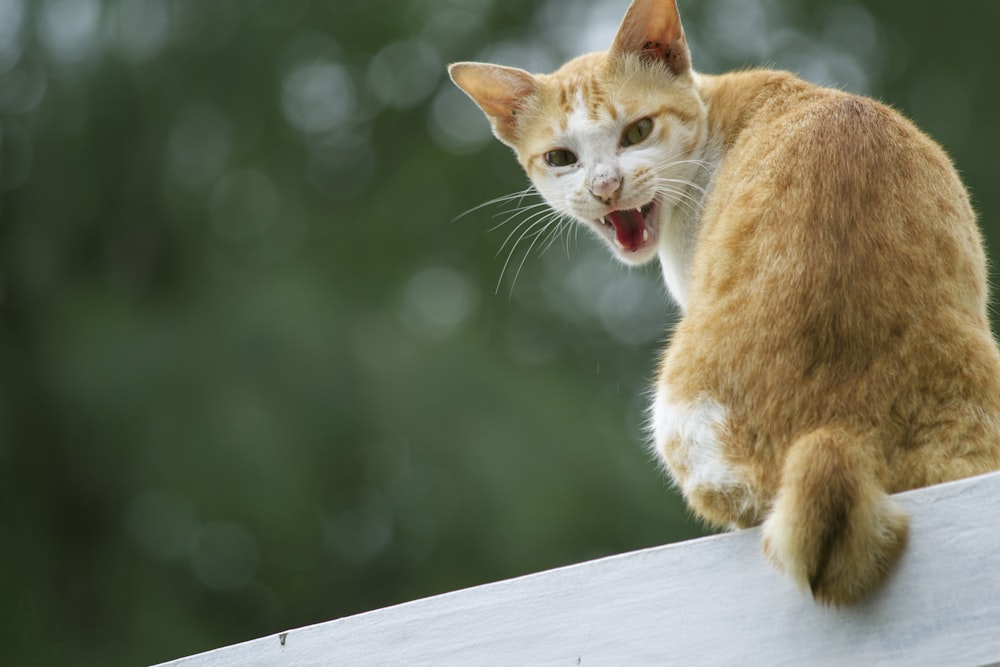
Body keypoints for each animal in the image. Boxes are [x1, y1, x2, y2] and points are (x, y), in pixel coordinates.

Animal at [450, 0, 1000, 608]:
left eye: (638, 131)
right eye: (561, 158)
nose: (605, 187)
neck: (712, 119)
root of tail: (845, 433)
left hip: (675, 410)